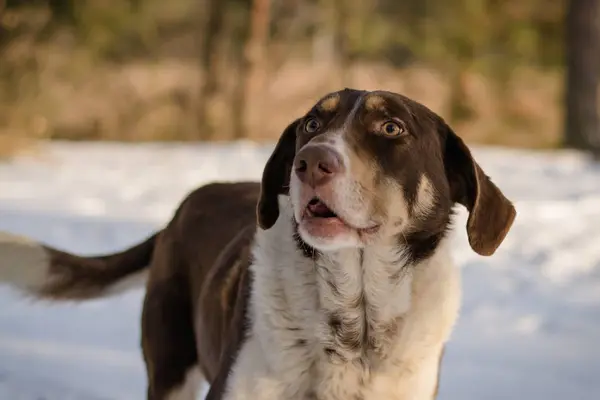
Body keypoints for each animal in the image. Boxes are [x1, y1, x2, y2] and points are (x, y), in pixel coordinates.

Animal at [0, 88, 516, 400]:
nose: (310, 163)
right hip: (169, 366)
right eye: (312, 125)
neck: (355, 323)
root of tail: (182, 208)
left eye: (392, 127)